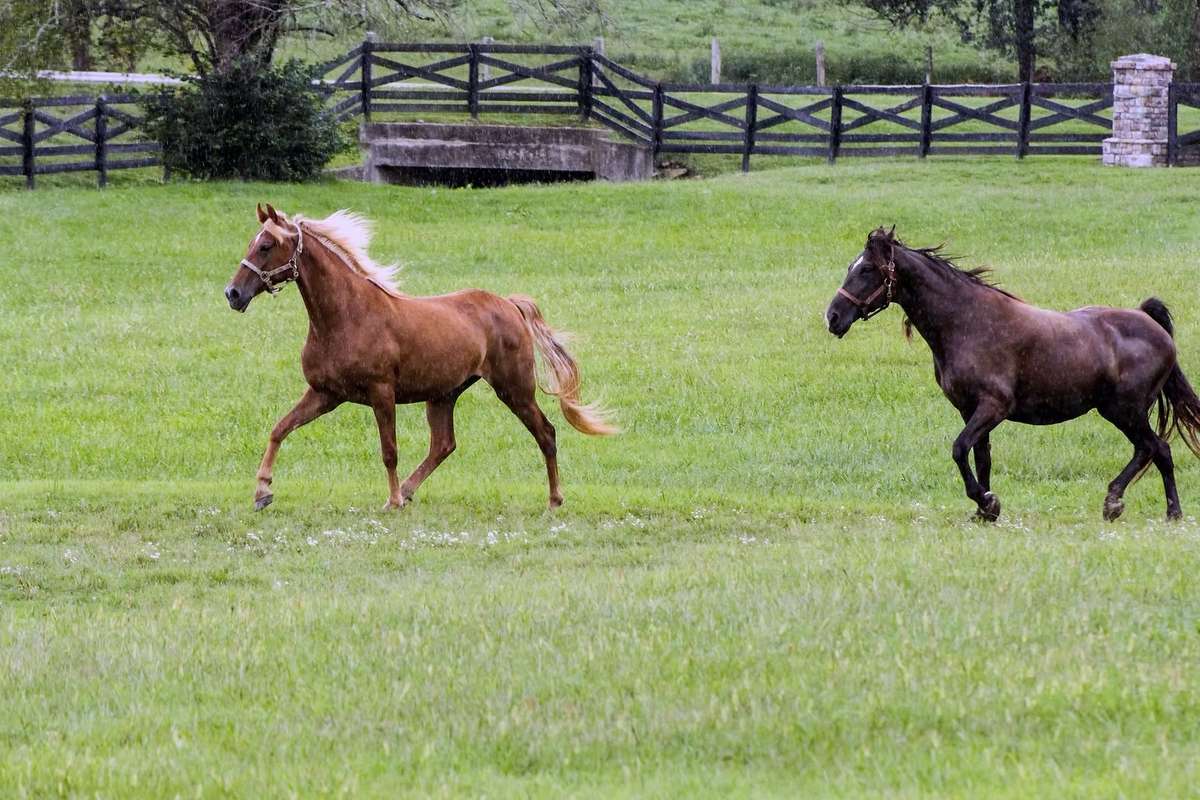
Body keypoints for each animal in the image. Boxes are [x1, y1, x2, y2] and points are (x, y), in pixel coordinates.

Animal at [224, 203, 616, 511]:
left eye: (266, 245)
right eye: (252, 243)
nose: (233, 293)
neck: (346, 317)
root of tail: (509, 304)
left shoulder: (381, 393)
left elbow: (389, 450)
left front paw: (392, 501)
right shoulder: (325, 394)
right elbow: (279, 429)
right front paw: (262, 493)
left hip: (514, 389)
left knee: (546, 433)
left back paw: (554, 500)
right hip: (444, 394)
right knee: (444, 444)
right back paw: (411, 490)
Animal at [825, 226, 1200, 522]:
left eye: (867, 269)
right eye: (852, 267)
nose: (832, 316)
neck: (967, 323)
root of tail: (1151, 323)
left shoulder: (994, 407)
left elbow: (959, 449)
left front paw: (987, 501)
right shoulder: (970, 410)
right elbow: (981, 457)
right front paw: (984, 511)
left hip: (1124, 411)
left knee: (1153, 448)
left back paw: (1124, 504)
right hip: (1124, 412)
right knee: (1157, 451)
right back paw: (1161, 510)